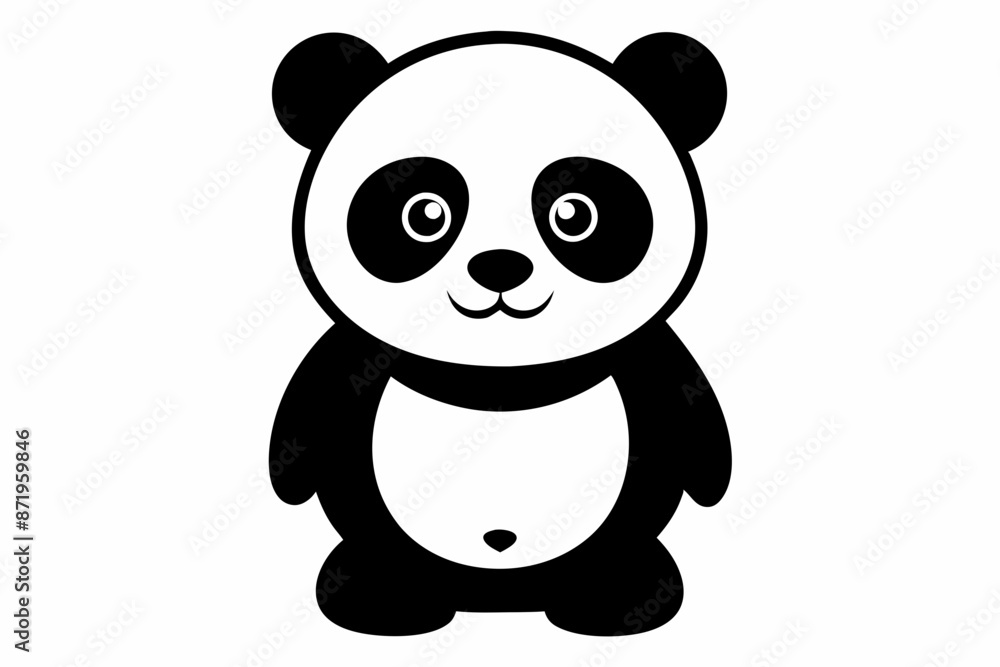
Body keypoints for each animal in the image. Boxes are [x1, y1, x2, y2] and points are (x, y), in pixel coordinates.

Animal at [269, 30, 731, 637]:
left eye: (575, 213)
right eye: (424, 213)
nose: (500, 267)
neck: (499, 374)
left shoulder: (651, 357)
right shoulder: (349, 359)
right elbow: (307, 408)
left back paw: (619, 595)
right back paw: (382, 595)